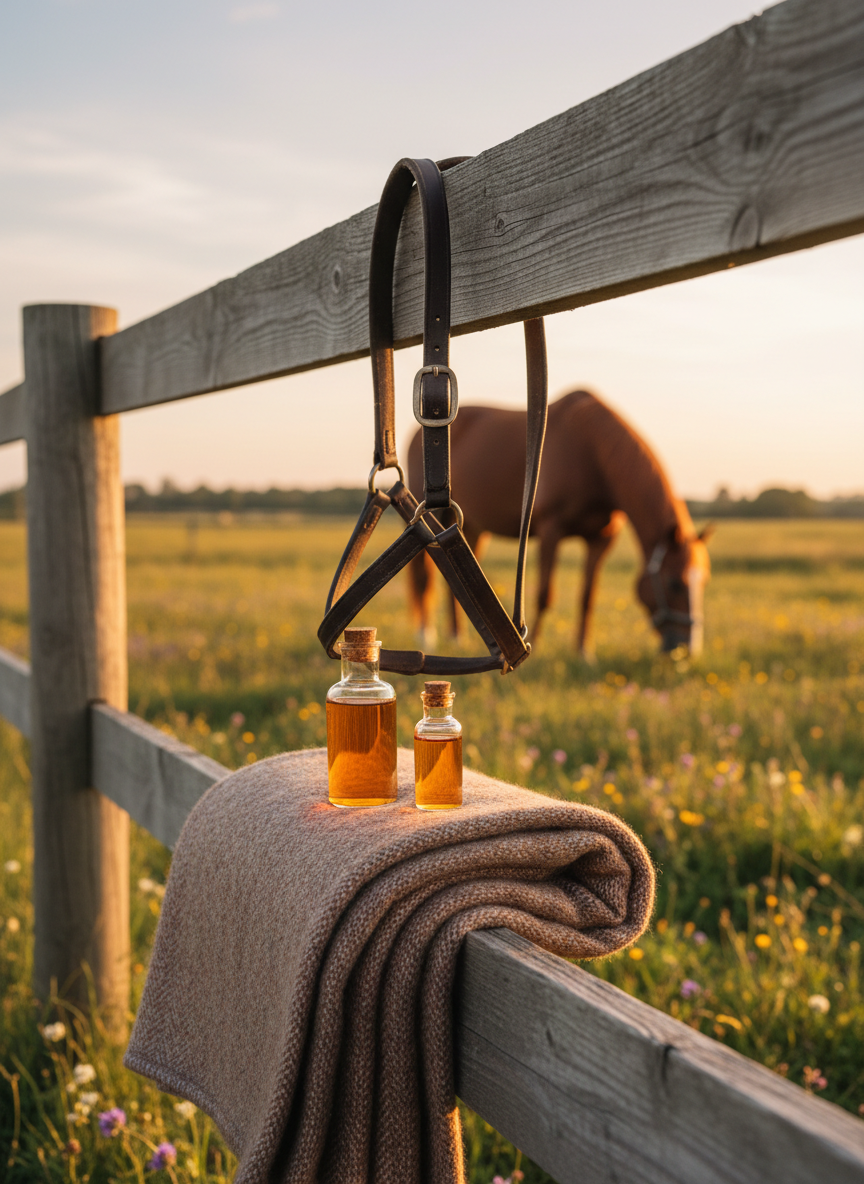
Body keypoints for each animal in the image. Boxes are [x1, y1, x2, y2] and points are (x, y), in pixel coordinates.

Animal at [407, 389, 712, 657]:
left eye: (704, 581)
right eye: (674, 583)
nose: (688, 649)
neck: (591, 453)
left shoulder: (601, 540)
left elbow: (587, 598)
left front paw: (583, 653)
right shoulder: (550, 531)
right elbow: (544, 595)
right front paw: (535, 646)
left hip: (470, 527)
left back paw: (457, 638)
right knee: (423, 578)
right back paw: (426, 637)